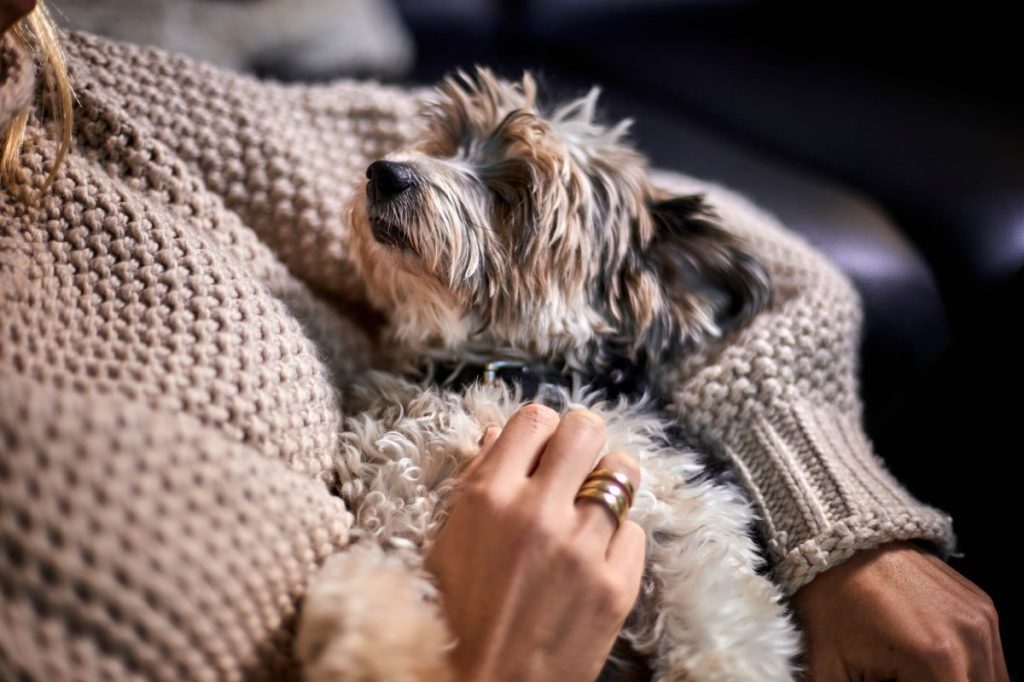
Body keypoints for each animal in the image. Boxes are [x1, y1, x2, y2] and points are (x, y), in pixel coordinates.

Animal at [299, 69, 802, 679]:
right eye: (447, 144)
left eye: (516, 193)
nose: (385, 172)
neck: (498, 370)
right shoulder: (390, 500)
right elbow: (372, 585)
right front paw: (374, 652)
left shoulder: (693, 509)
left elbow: (723, 619)